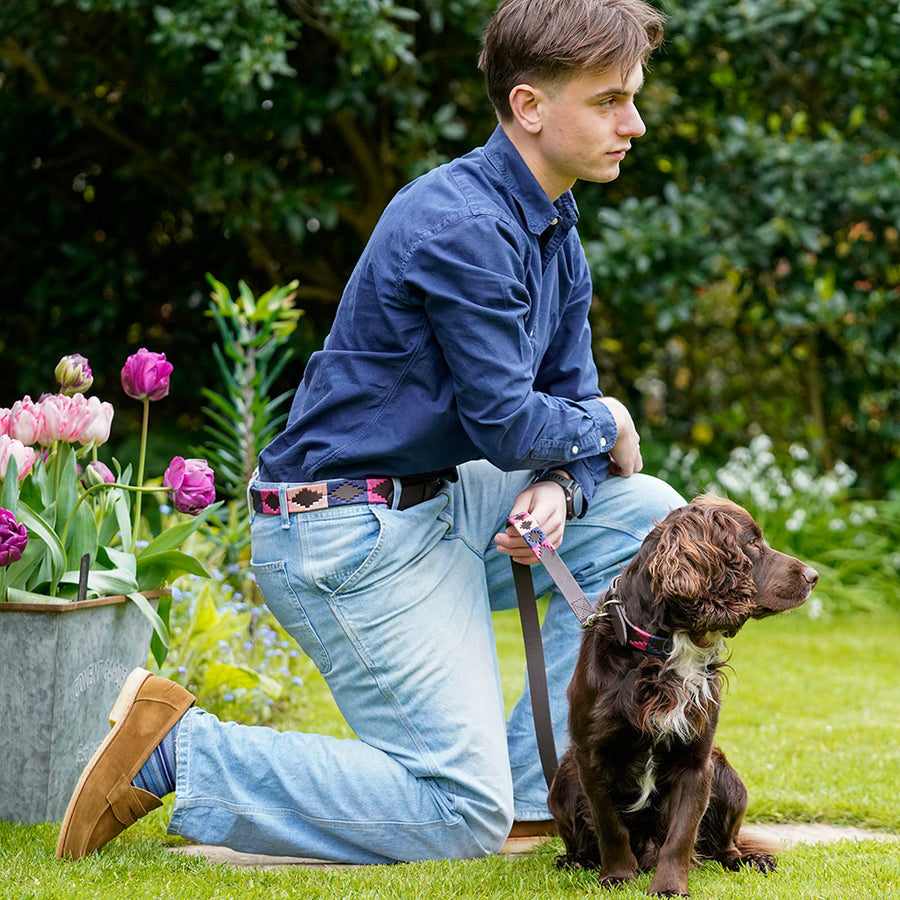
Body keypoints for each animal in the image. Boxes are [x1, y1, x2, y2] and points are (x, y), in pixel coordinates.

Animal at [552, 496, 820, 896]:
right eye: (752, 543)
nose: (814, 576)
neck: (667, 649)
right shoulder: (591, 757)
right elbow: (610, 826)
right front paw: (617, 876)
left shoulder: (697, 761)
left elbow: (681, 834)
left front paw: (668, 887)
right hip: (563, 780)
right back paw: (575, 860)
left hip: (728, 778)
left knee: (726, 845)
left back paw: (751, 860)